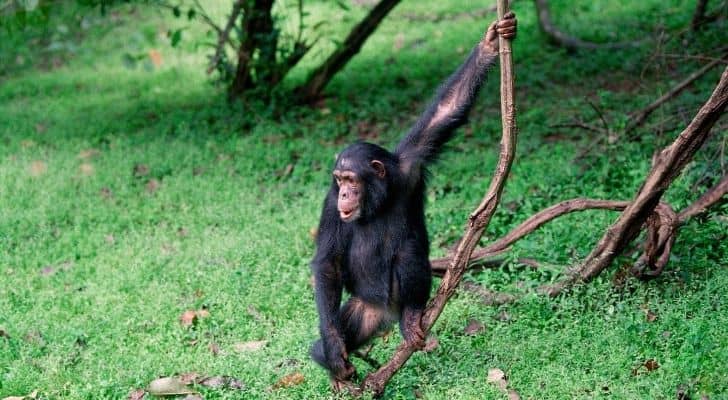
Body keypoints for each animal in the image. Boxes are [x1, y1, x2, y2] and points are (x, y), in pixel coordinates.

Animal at [310, 14, 516, 386]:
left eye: (351, 179)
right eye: (339, 180)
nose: (345, 192)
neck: (378, 195)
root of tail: (385, 317)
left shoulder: (411, 161)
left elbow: (446, 110)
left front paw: (490, 43)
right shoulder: (330, 205)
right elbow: (328, 263)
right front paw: (334, 352)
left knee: (407, 252)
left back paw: (411, 316)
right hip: (362, 313)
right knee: (320, 347)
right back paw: (339, 371)